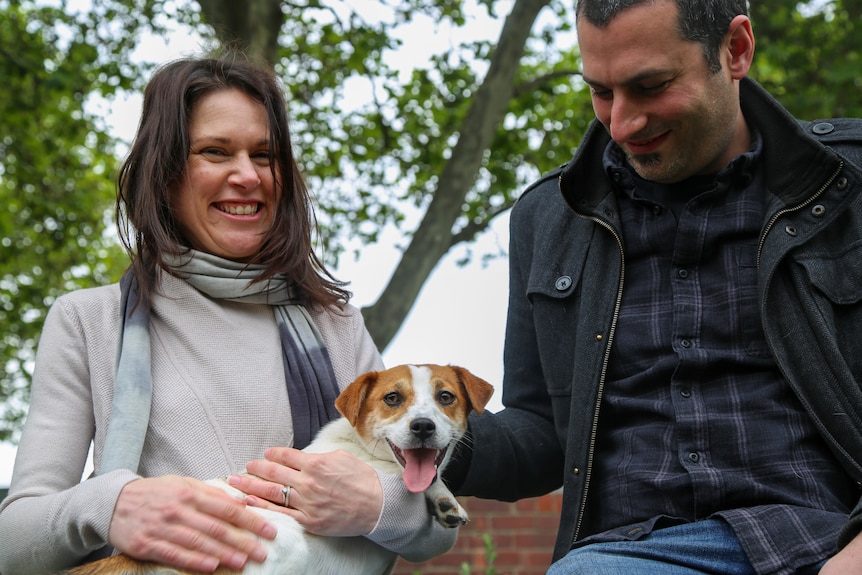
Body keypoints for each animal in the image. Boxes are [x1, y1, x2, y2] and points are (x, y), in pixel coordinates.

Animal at [64, 364, 496, 575]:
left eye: (445, 397)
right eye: (393, 398)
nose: (422, 427)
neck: (366, 451)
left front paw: (444, 502)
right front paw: (438, 496)